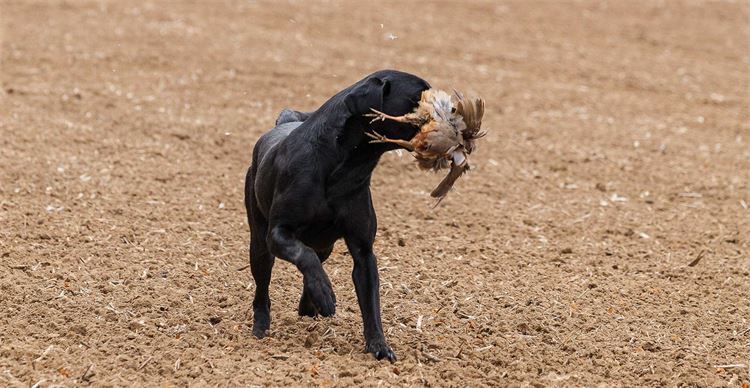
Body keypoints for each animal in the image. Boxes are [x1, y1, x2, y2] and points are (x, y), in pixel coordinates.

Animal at [247, 69, 432, 360]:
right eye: (418, 98)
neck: (343, 165)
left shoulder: (363, 251)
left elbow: (371, 306)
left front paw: (379, 347)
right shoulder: (278, 233)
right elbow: (305, 256)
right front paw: (324, 293)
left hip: (325, 245)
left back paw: (309, 306)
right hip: (259, 245)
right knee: (263, 288)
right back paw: (261, 327)